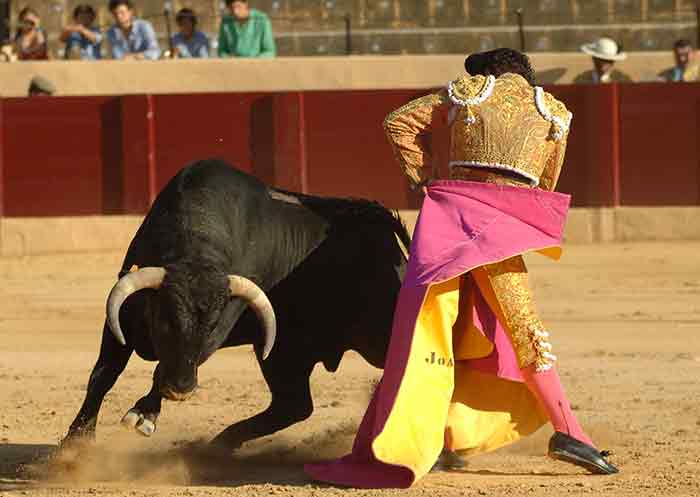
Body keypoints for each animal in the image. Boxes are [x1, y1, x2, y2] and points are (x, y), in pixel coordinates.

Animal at [65, 161, 410, 448]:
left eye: (213, 328)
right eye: (163, 319)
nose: (181, 389)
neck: (197, 243)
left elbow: (157, 368)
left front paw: (144, 414)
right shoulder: (121, 319)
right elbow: (103, 373)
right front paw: (76, 442)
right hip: (288, 353)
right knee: (292, 405)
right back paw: (217, 446)